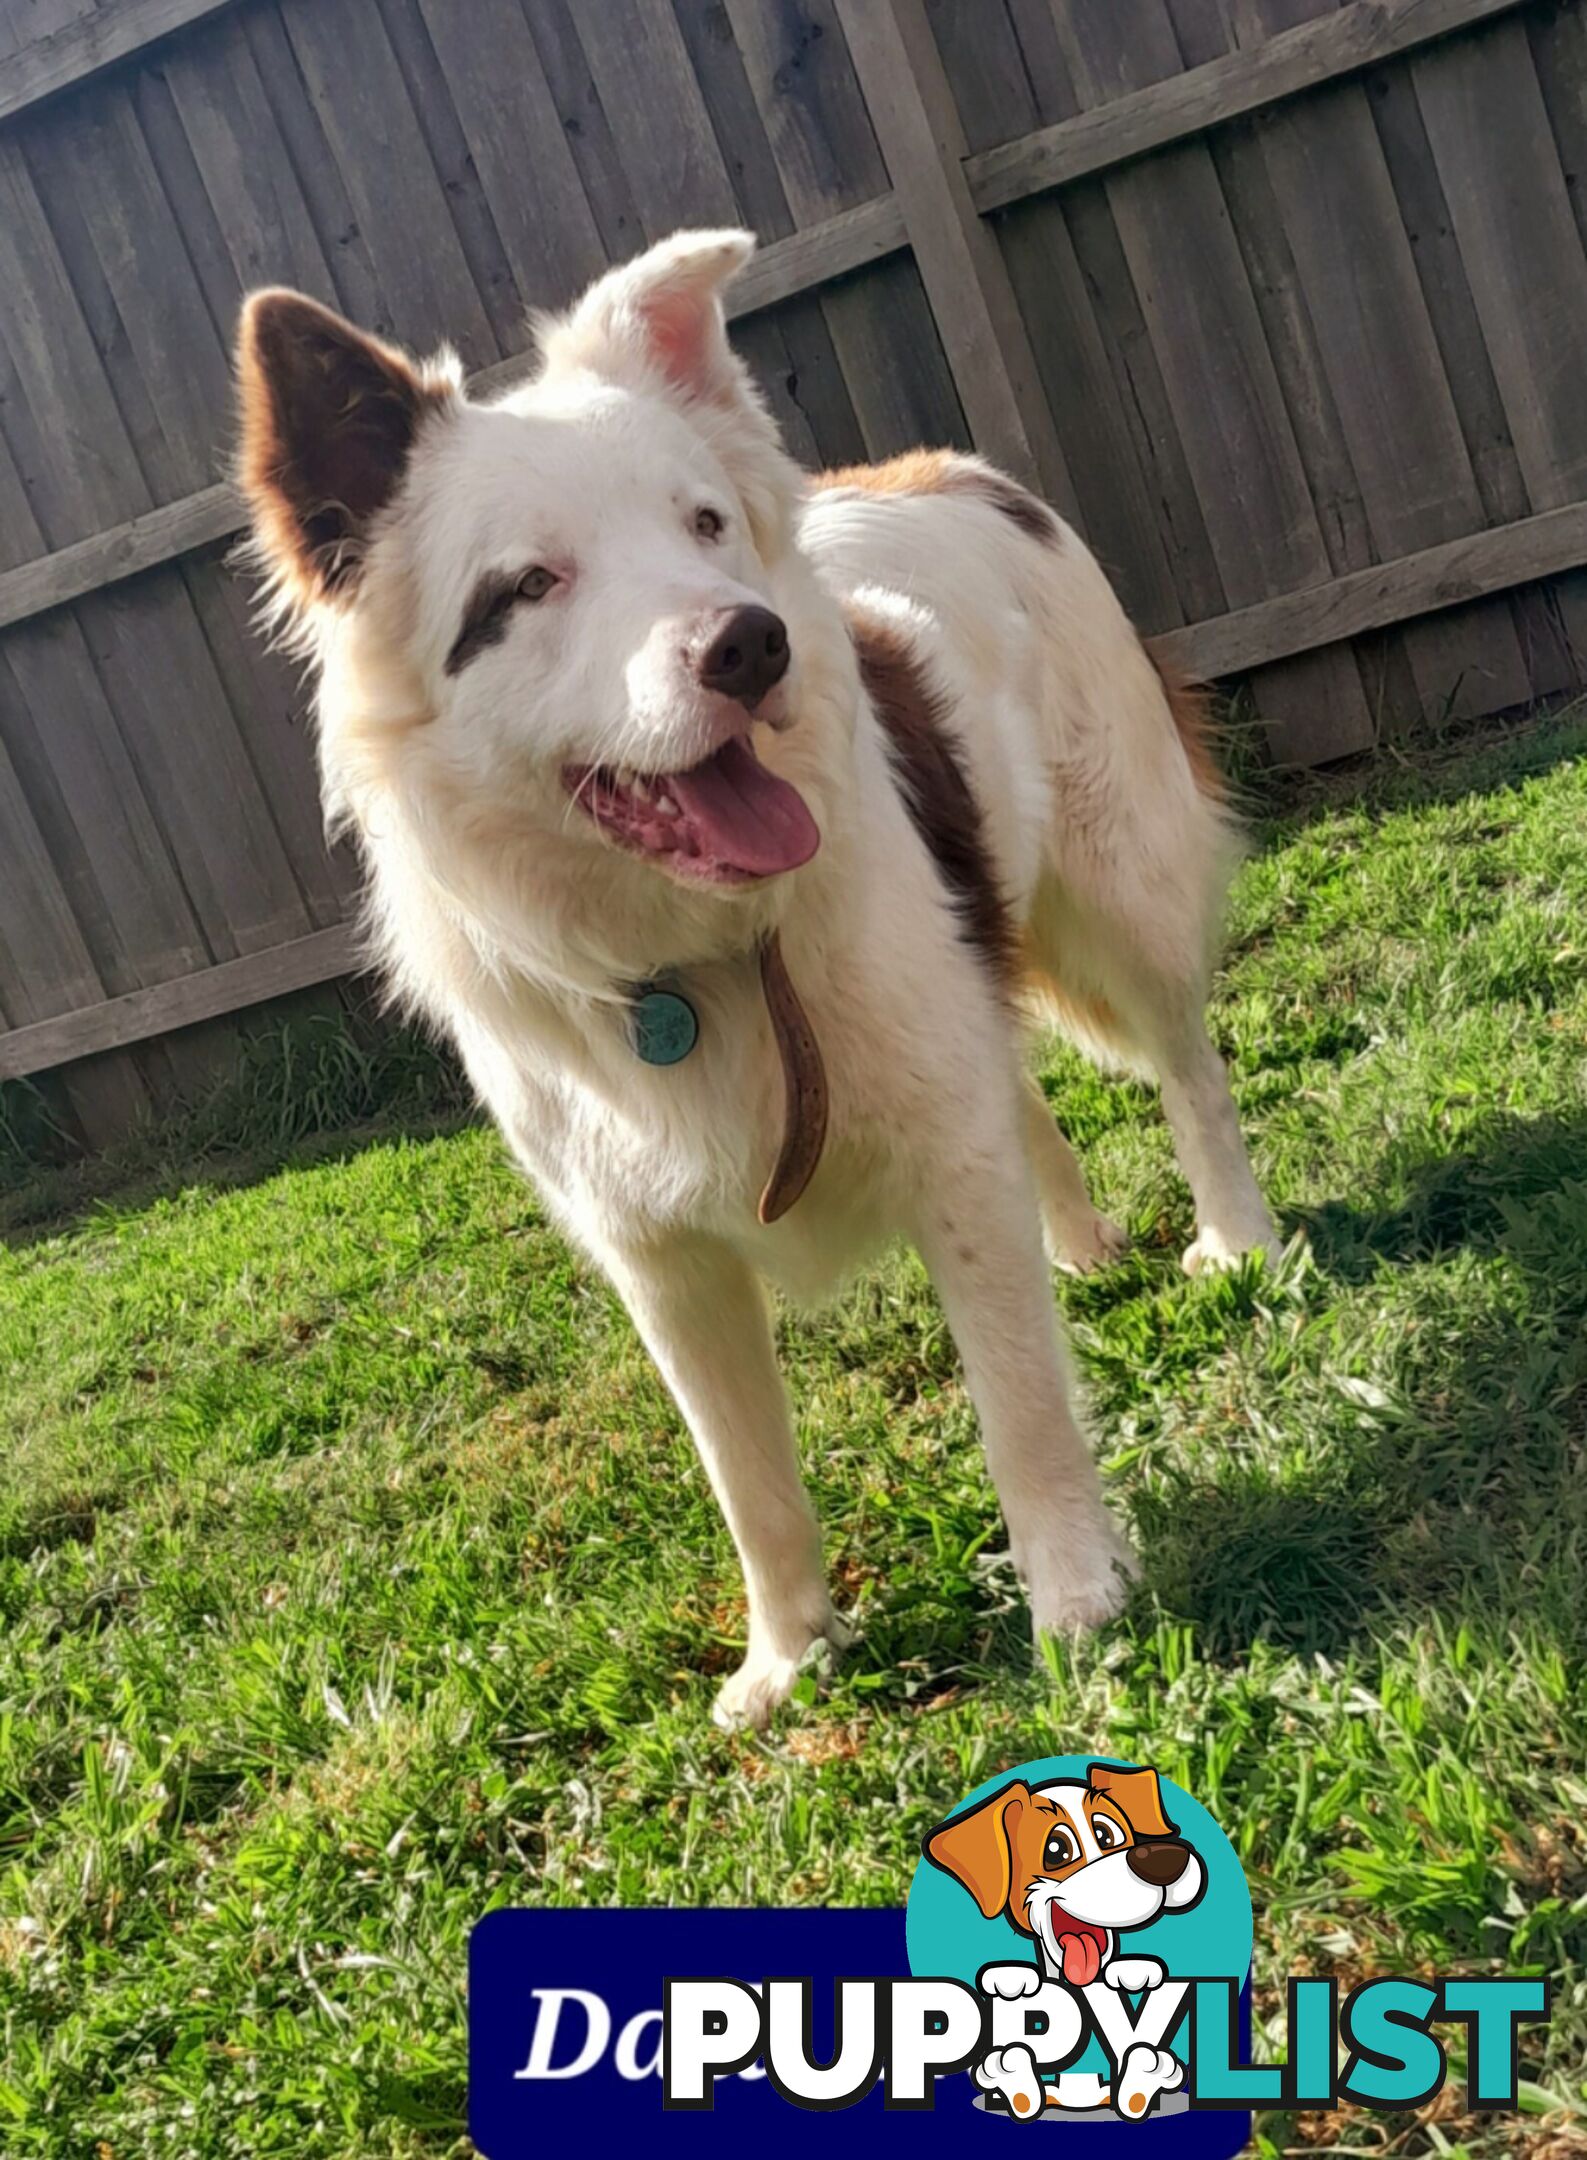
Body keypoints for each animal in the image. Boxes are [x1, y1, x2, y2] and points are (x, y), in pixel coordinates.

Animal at [233, 227, 1278, 1728]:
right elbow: (746, 1478)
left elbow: (1018, 1398)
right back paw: (1077, 1243)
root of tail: (946, 468)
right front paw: (787, 1658)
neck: (695, 951)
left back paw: (1237, 1240)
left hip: (1119, 889)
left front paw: (1076, 1598)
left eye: (704, 525)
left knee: (1187, 1069)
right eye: (527, 587)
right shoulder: (659, 1260)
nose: (749, 645)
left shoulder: (940, 1149)